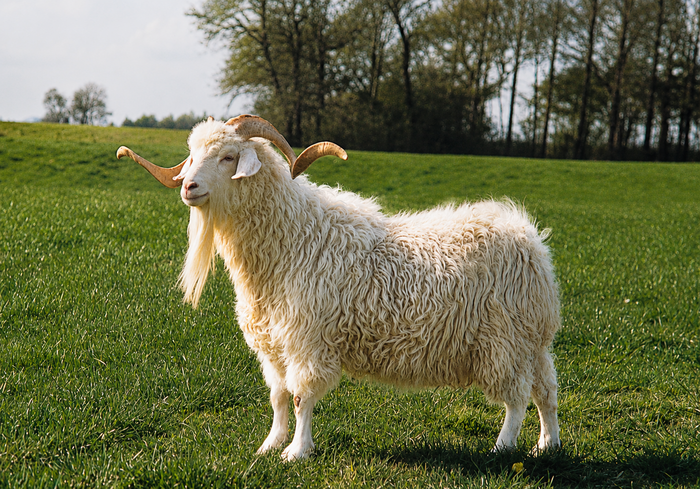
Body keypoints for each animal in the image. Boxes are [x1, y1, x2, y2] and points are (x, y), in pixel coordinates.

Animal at [117, 115, 561, 461]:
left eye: (228, 157)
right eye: (192, 155)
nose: (188, 187)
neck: (294, 239)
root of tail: (531, 241)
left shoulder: (308, 340)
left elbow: (301, 397)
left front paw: (296, 452)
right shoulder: (275, 343)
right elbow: (279, 397)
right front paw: (268, 445)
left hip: (503, 341)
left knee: (517, 397)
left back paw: (503, 447)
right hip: (530, 341)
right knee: (546, 390)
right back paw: (547, 445)